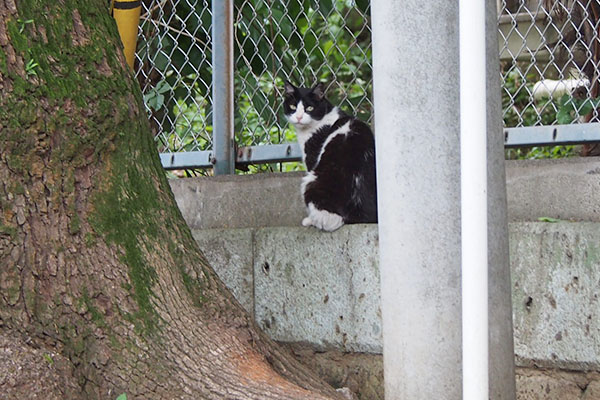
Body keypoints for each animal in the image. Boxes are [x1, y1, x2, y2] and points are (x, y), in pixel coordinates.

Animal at [284, 80, 378, 231]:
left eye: (309, 108)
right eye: (293, 106)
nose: (298, 117)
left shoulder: (312, 157)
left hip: (310, 181)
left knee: (329, 221)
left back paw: (311, 221)